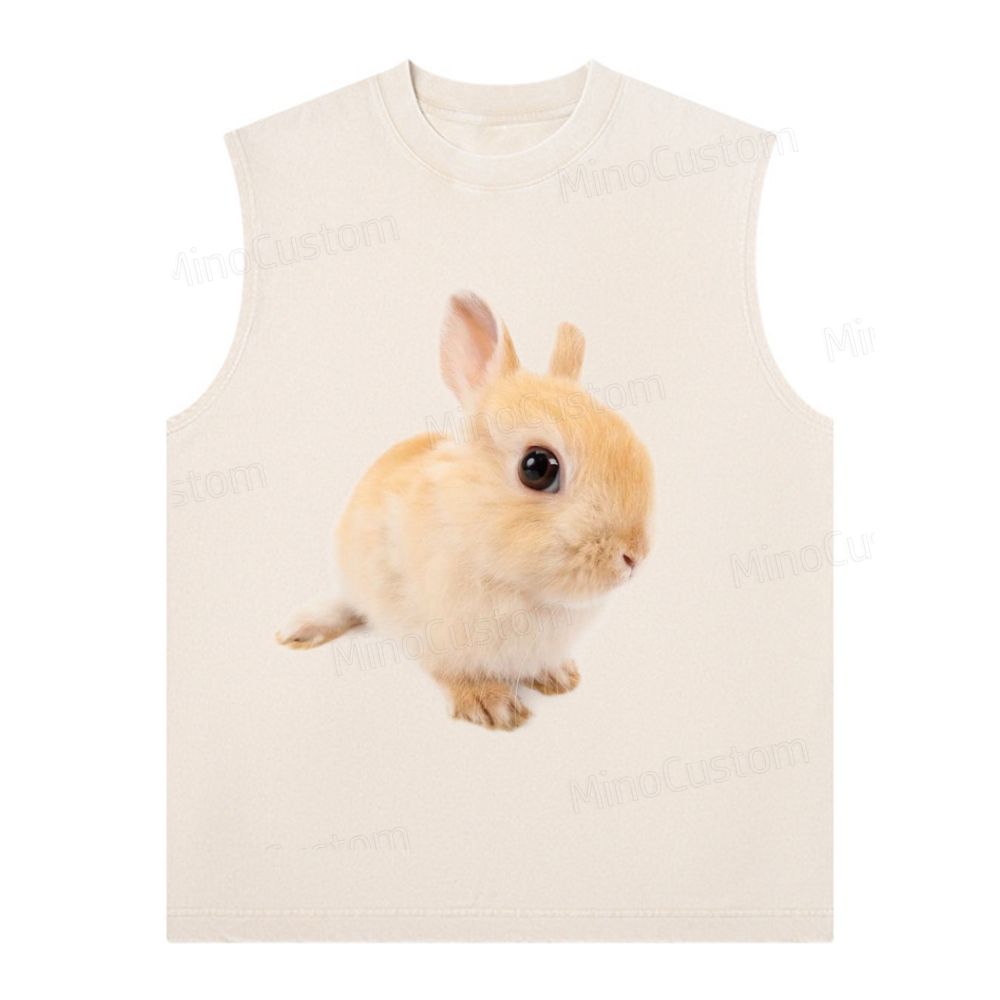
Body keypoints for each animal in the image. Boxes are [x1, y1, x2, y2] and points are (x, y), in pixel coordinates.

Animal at [277, 292, 654, 730]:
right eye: (537, 467)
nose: (633, 556)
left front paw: (559, 678)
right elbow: (455, 673)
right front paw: (493, 707)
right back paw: (299, 630)